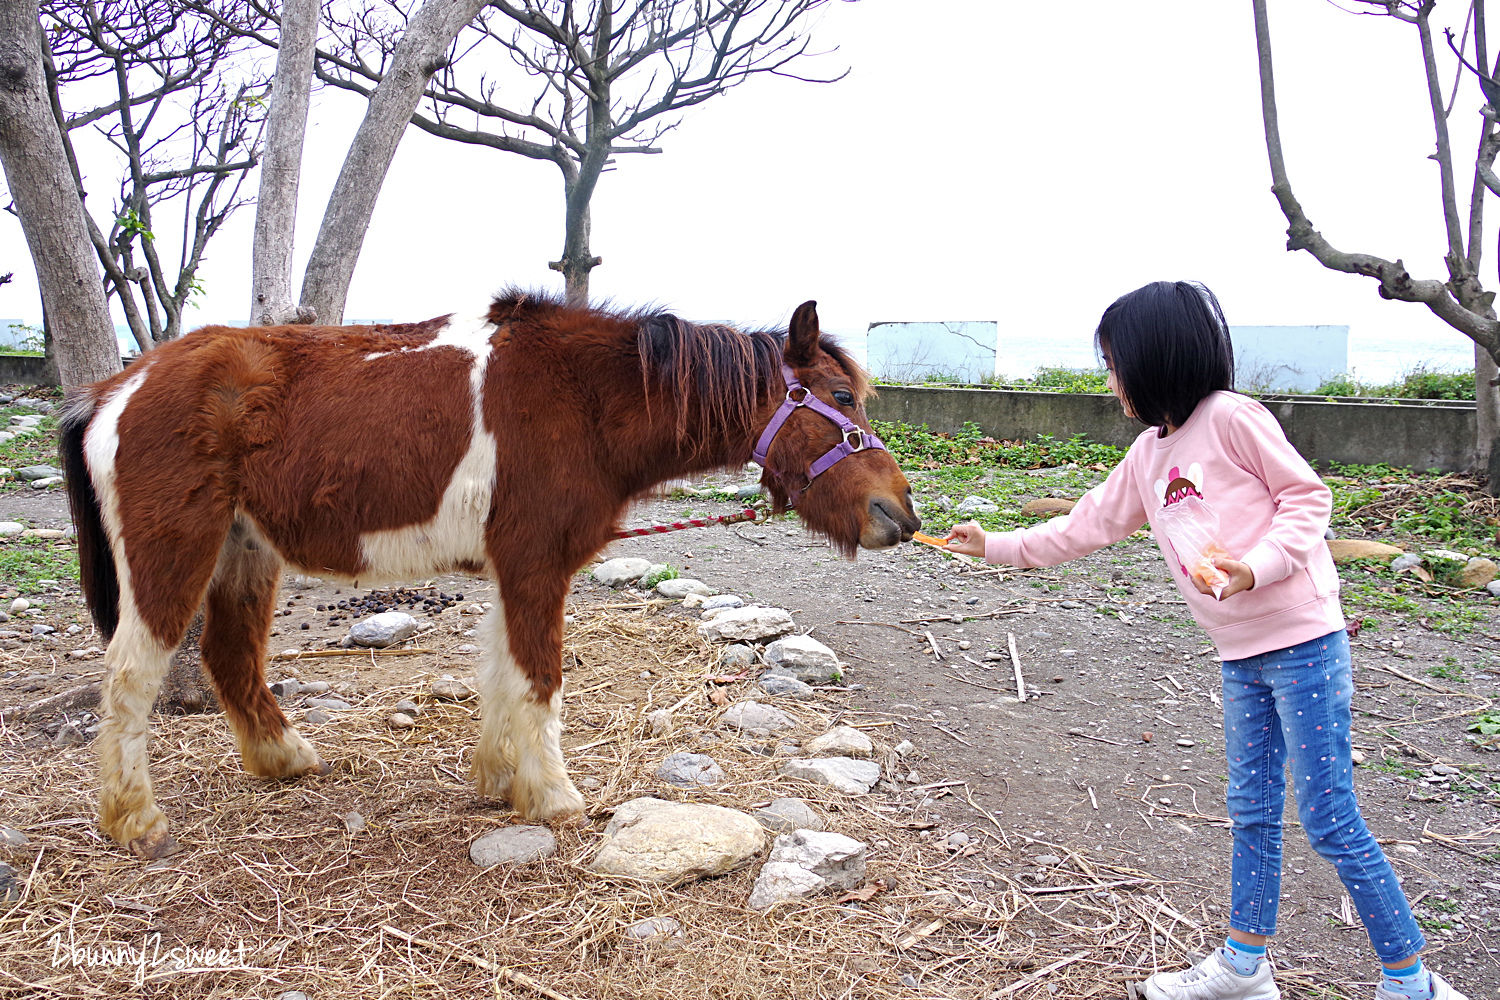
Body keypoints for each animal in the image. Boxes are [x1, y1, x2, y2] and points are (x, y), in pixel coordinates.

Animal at [64, 290, 918, 863]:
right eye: (840, 397)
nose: (899, 514)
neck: (581, 396)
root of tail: (115, 389)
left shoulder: (517, 571)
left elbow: (507, 674)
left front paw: (504, 779)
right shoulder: (536, 565)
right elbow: (539, 678)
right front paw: (556, 798)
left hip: (245, 552)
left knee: (230, 658)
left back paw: (284, 760)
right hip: (175, 554)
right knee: (130, 677)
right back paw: (134, 819)